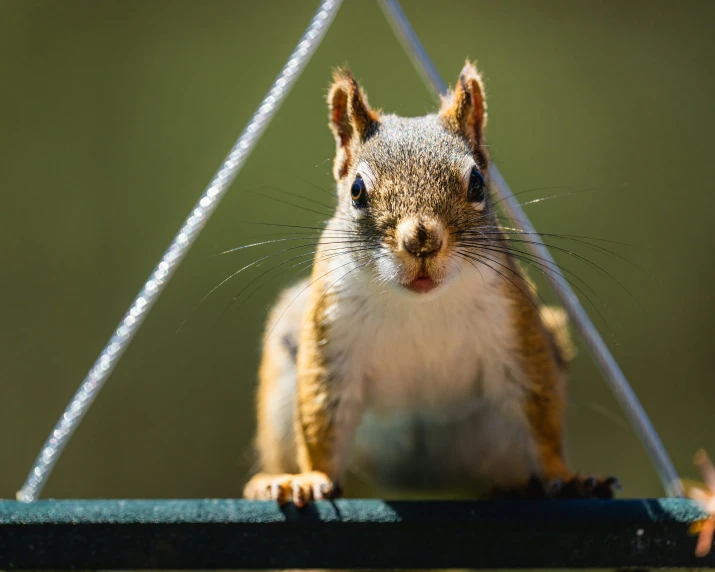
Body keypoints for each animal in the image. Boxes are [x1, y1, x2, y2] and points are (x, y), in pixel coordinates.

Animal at [243, 59, 620, 504]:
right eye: (357, 190)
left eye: (477, 183)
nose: (421, 240)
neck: (418, 305)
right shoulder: (330, 337)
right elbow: (321, 416)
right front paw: (310, 477)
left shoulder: (515, 328)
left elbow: (538, 409)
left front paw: (567, 475)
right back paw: (276, 480)